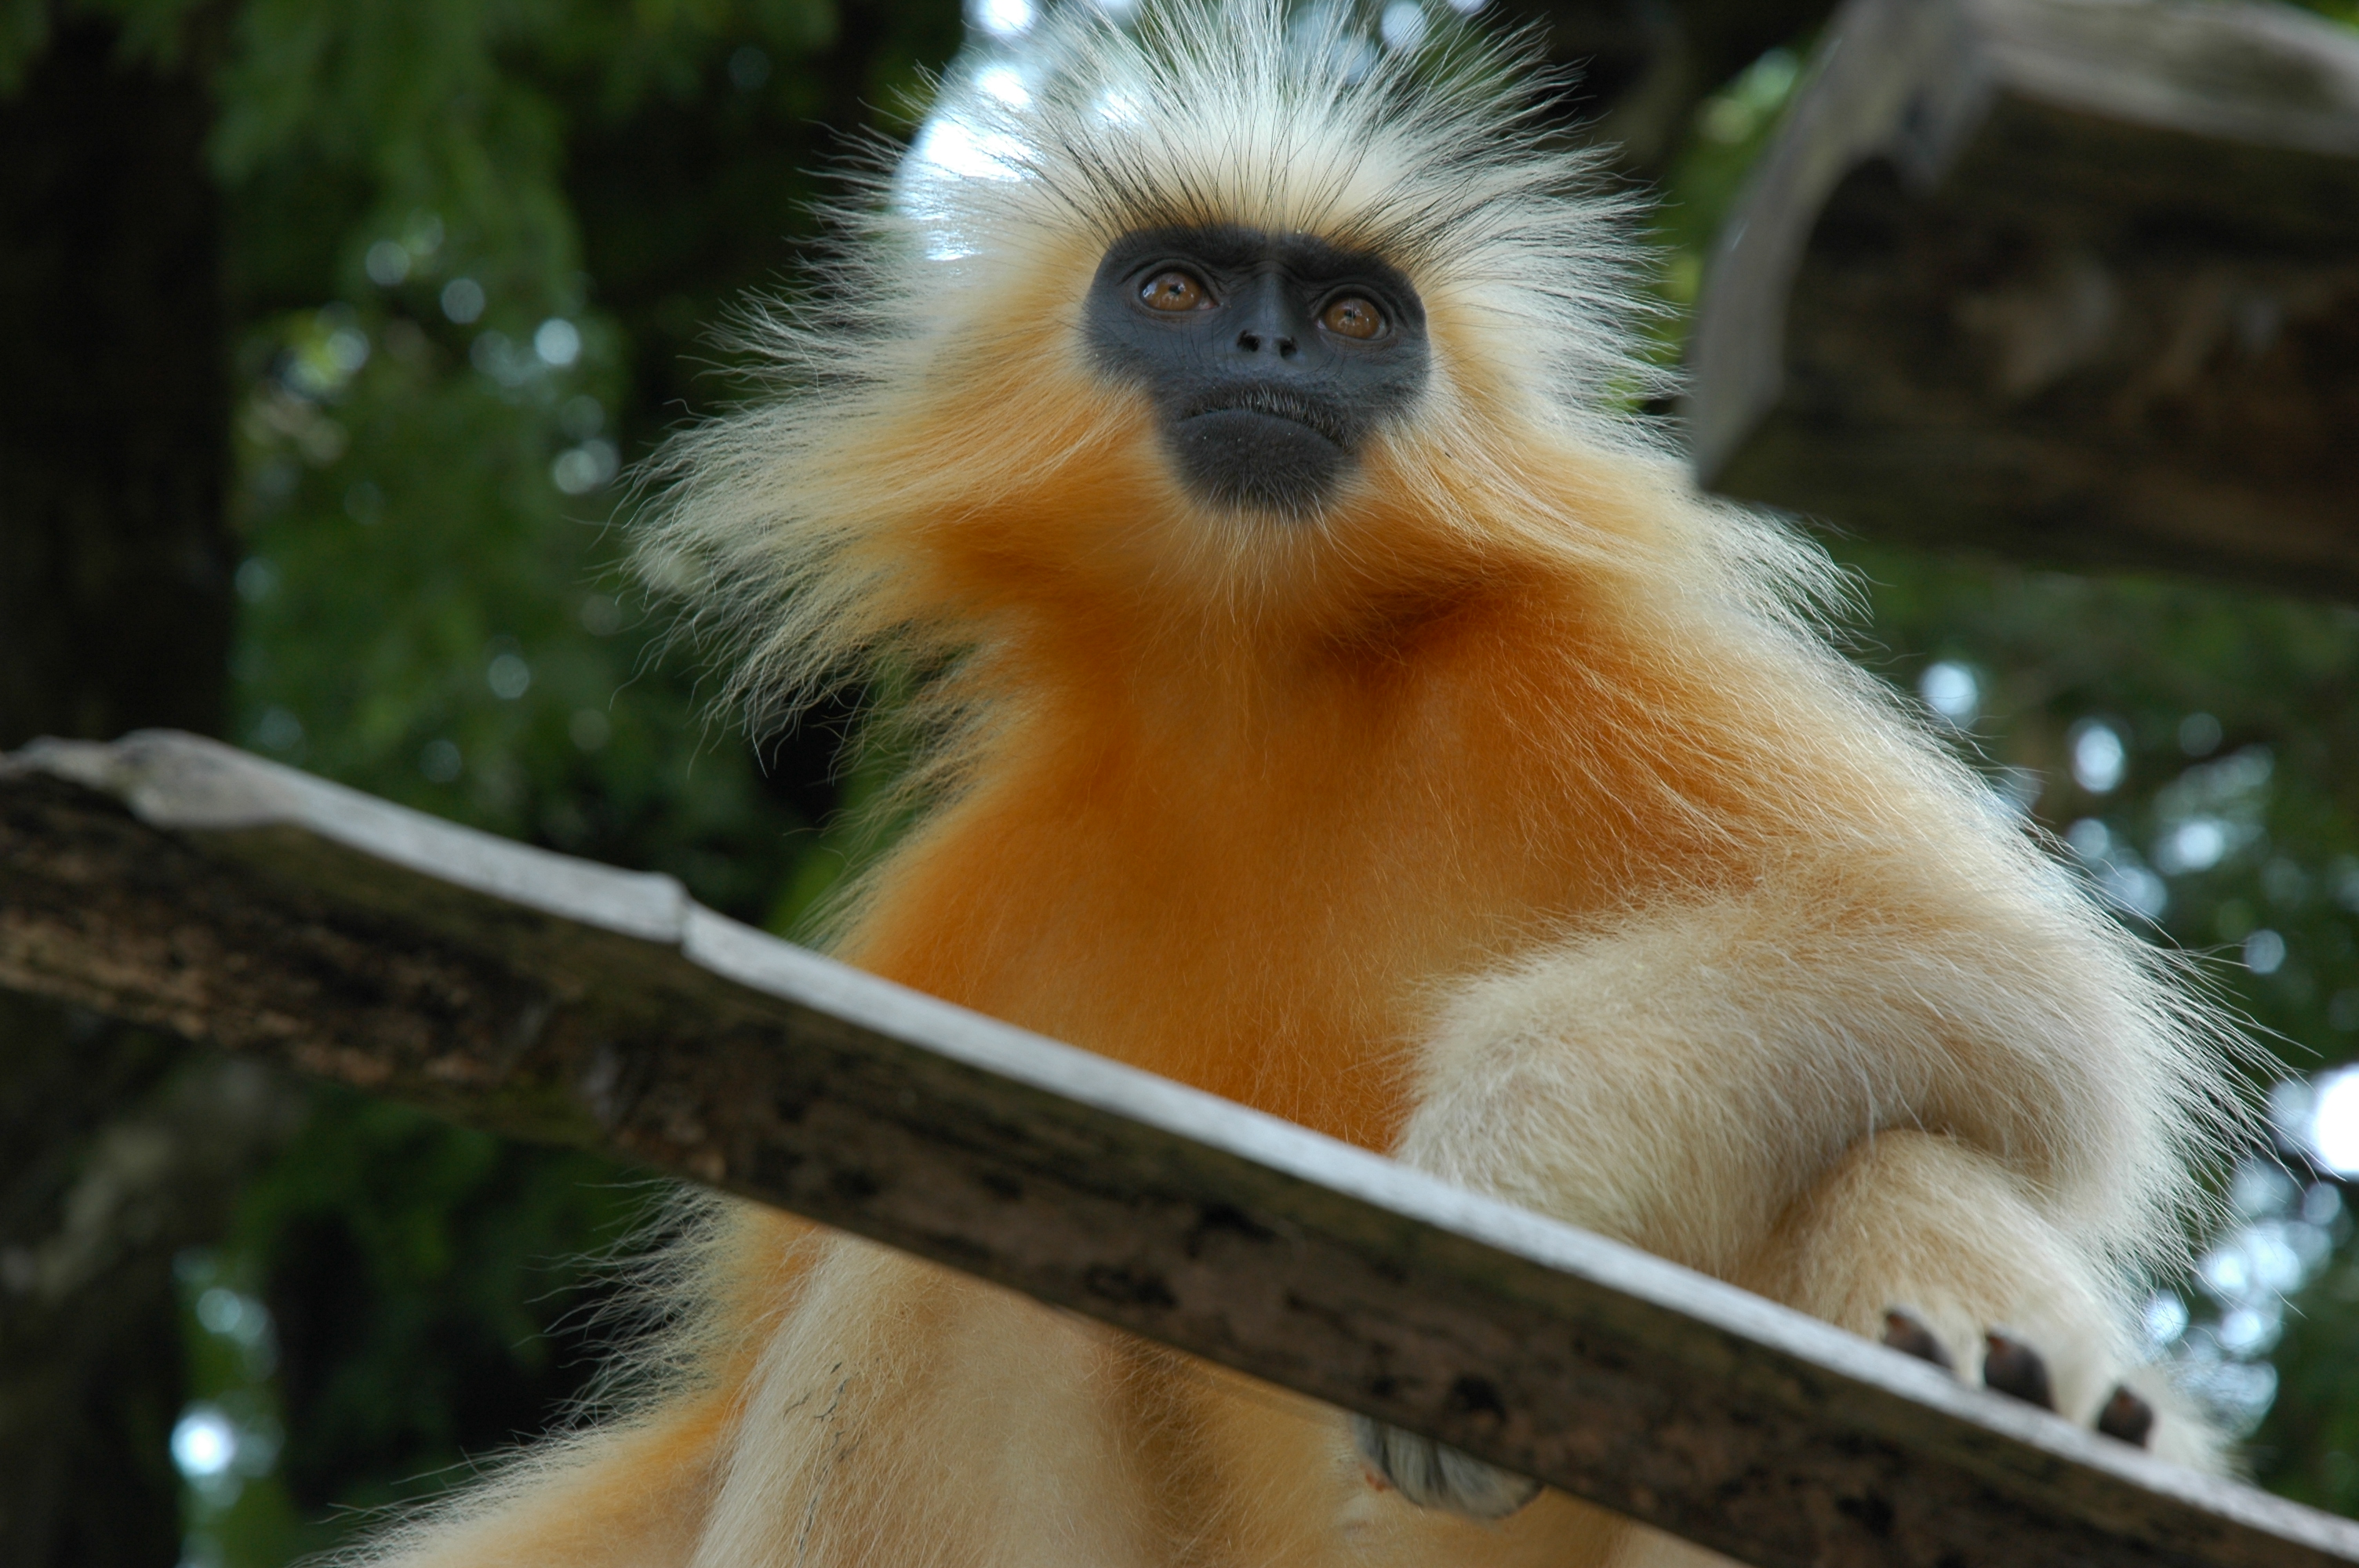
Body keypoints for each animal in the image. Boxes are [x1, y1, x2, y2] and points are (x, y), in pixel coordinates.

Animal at [358, 5, 2236, 1555]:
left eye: (1346, 315)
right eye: (1177, 293)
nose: (1267, 356)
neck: (1249, 695)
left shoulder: (1572, 667)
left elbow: (2022, 989)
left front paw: (1498, 1195)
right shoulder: (972, 895)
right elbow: (725, 1416)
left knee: (1881, 1116)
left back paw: (2015, 1391)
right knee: (934, 1280)